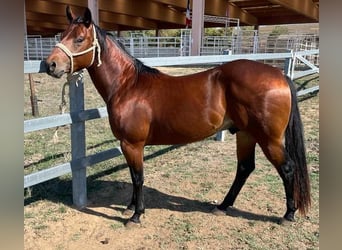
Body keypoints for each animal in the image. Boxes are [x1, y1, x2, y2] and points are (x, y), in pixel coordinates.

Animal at [44, 6, 310, 227]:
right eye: (62, 35)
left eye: (79, 39)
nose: (50, 65)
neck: (128, 86)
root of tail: (279, 75)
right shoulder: (128, 145)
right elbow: (133, 176)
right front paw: (130, 206)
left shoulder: (132, 144)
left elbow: (138, 177)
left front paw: (136, 215)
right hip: (245, 134)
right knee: (245, 168)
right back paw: (222, 206)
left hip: (269, 139)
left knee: (287, 169)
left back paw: (288, 215)